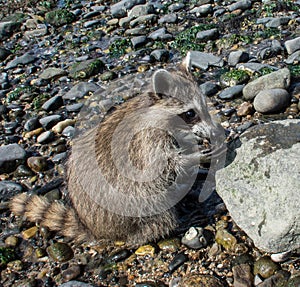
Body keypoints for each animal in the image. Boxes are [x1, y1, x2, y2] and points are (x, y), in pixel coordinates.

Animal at [10, 53, 223, 245]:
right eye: (190, 113)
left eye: (204, 106)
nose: (216, 132)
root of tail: (96, 229)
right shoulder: (146, 142)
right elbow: (163, 166)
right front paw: (195, 157)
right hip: (128, 208)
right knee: (151, 207)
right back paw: (174, 224)